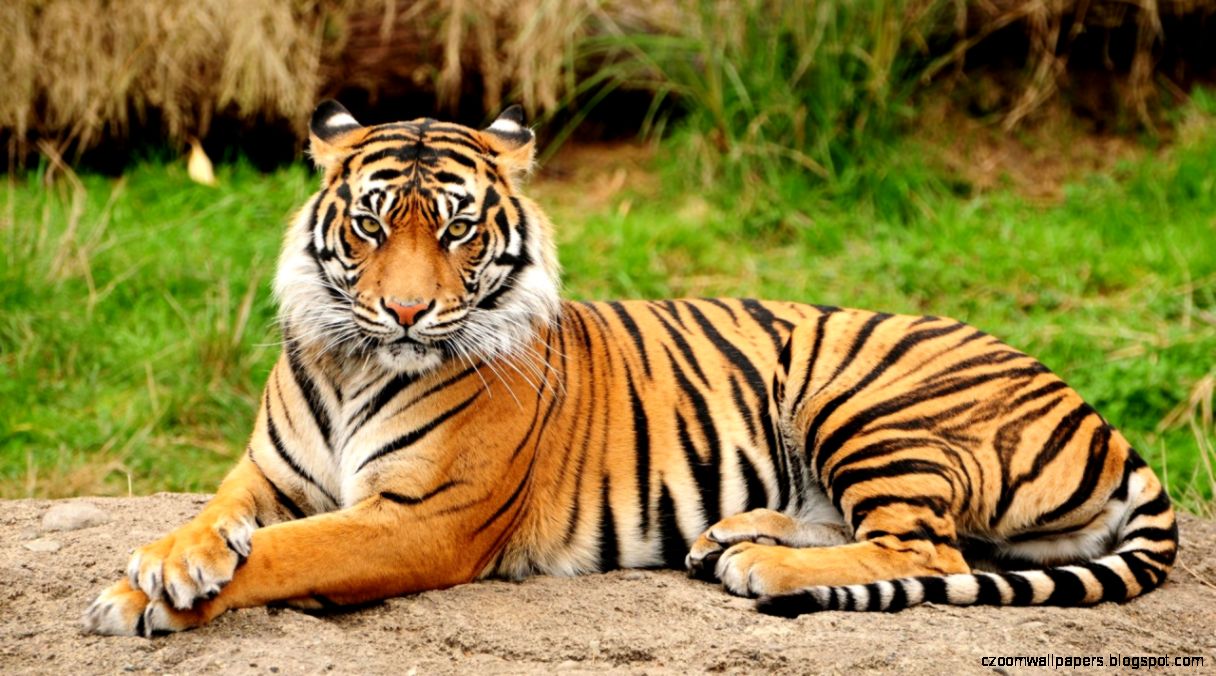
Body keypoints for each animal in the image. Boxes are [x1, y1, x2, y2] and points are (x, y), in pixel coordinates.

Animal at [83, 101, 1177, 636]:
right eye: (370, 225)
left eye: (458, 229)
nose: (405, 310)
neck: (356, 362)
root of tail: (1099, 415)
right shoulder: (264, 475)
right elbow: (217, 521)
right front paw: (165, 565)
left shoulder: (420, 518)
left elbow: (289, 553)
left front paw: (144, 598)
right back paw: (732, 534)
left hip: (865, 397)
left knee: (930, 551)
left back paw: (760, 563)